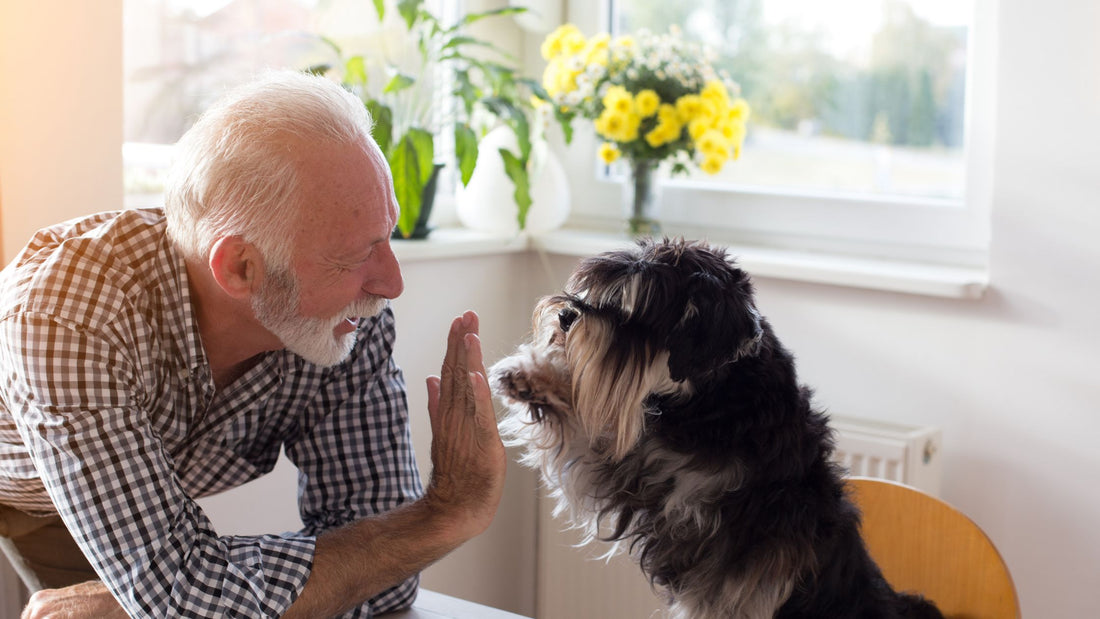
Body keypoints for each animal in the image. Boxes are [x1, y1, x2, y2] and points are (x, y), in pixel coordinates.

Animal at [492, 238, 946, 619]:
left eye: (638, 312)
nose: (566, 315)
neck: (716, 402)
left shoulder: (724, 553)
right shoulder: (640, 467)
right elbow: (588, 431)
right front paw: (529, 375)